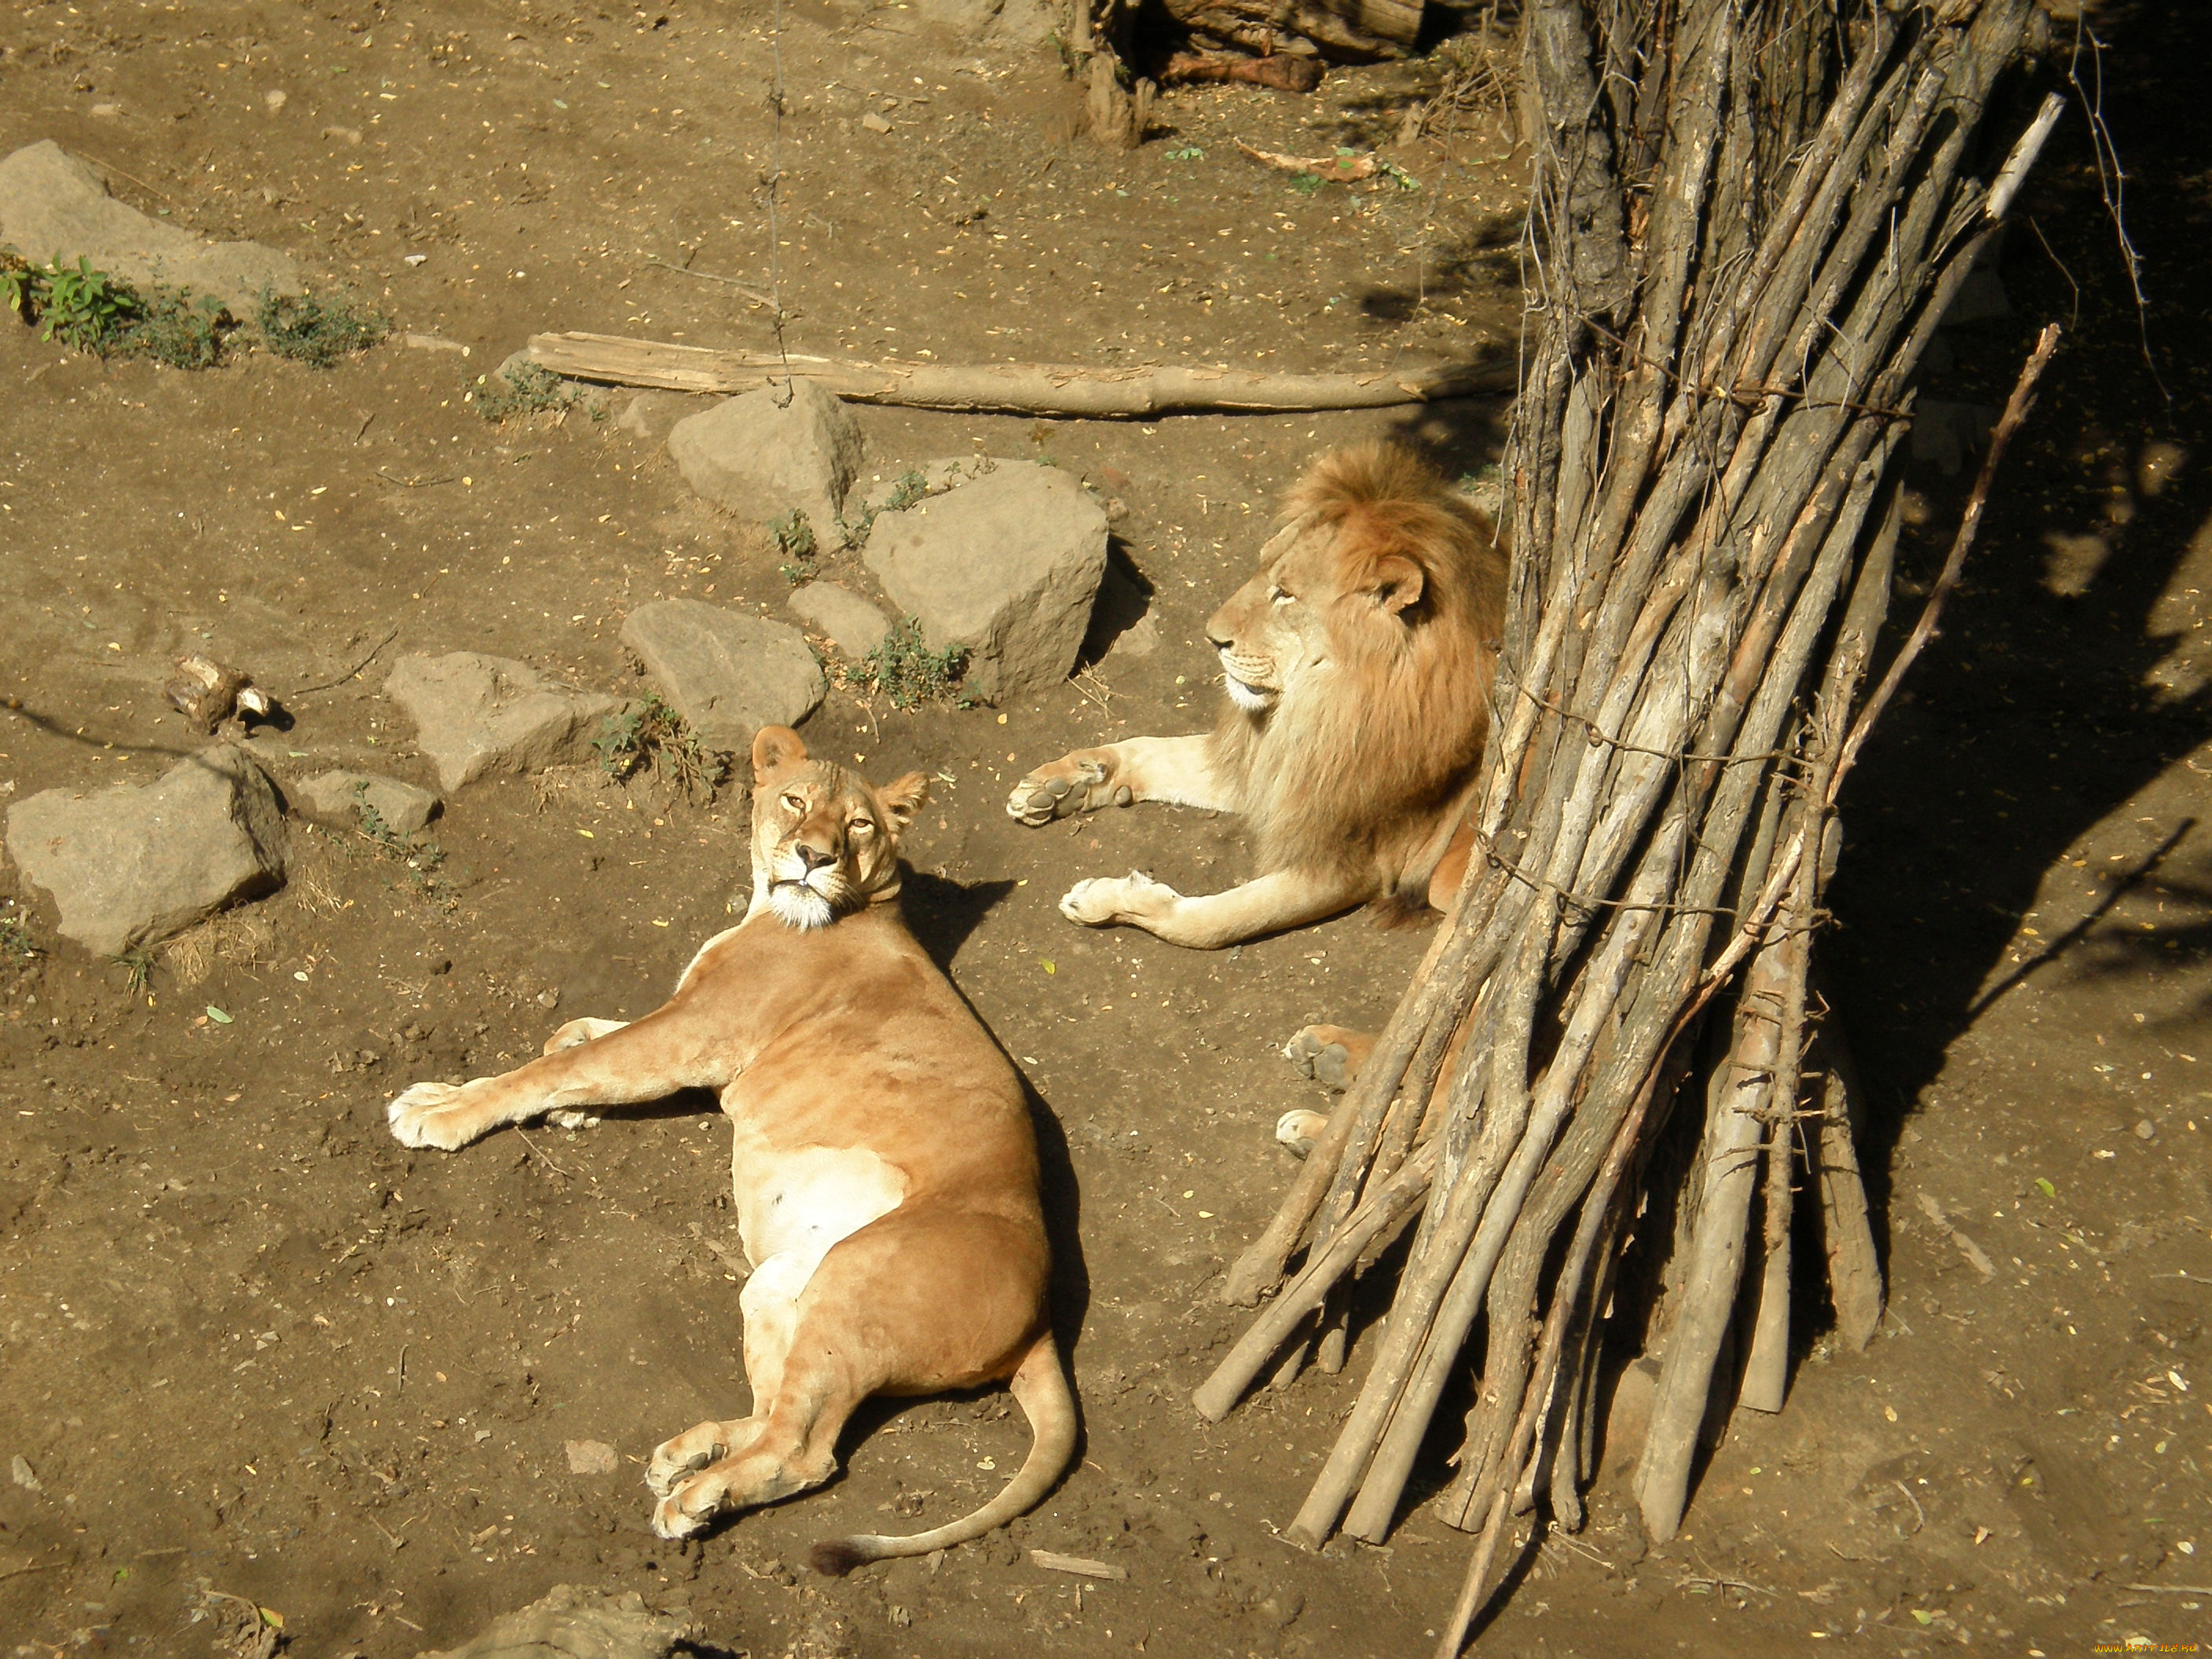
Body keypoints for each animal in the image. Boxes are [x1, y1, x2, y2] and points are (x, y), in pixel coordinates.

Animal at [386, 734, 1070, 1574]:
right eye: (796, 802)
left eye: (861, 825)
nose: (813, 858)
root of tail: (1044, 1317)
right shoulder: (690, 1034)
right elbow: (579, 1044)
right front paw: (572, 1098)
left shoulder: (695, 1033)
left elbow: (561, 1063)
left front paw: (439, 1110)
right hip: (779, 1286)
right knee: (775, 1410)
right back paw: (692, 1453)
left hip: (857, 1284)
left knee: (804, 1450)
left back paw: (697, 1499)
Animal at [1004, 442, 1503, 955]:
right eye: (1261, 568)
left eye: (1285, 593)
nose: (1212, 638)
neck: (1327, 706)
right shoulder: (1285, 767)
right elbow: (1150, 750)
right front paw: (1064, 784)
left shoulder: (1353, 860)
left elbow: (1211, 923)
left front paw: (1105, 899)